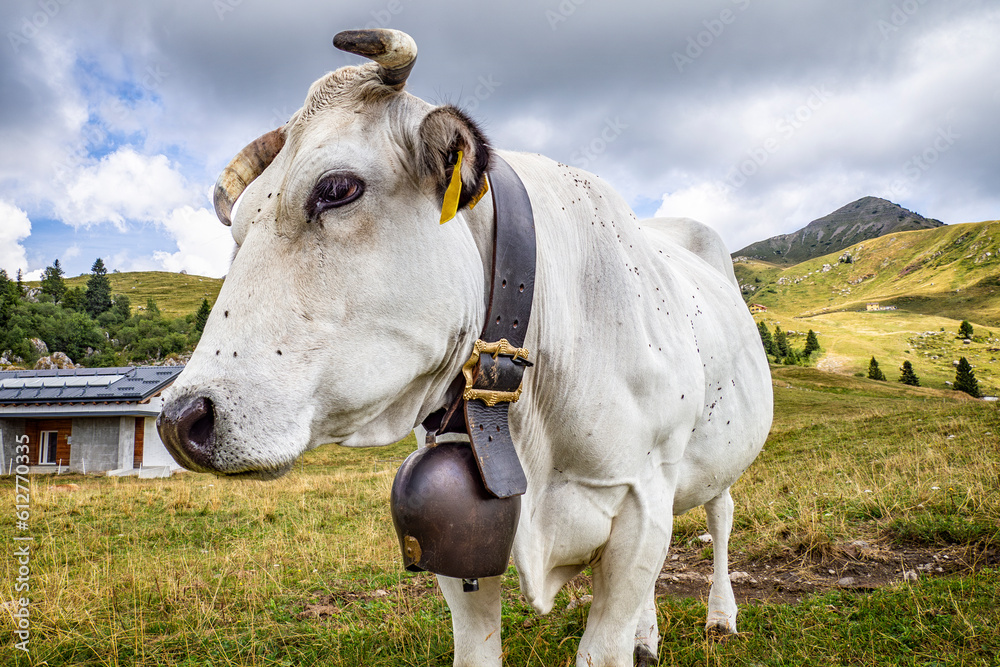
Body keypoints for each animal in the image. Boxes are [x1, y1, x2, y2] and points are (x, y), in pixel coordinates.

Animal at [158, 28, 772, 664]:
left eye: (337, 189)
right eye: (236, 231)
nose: (180, 419)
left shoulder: (640, 506)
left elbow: (605, 644)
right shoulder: (459, 534)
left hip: (722, 461)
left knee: (721, 517)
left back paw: (721, 616)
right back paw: (648, 634)